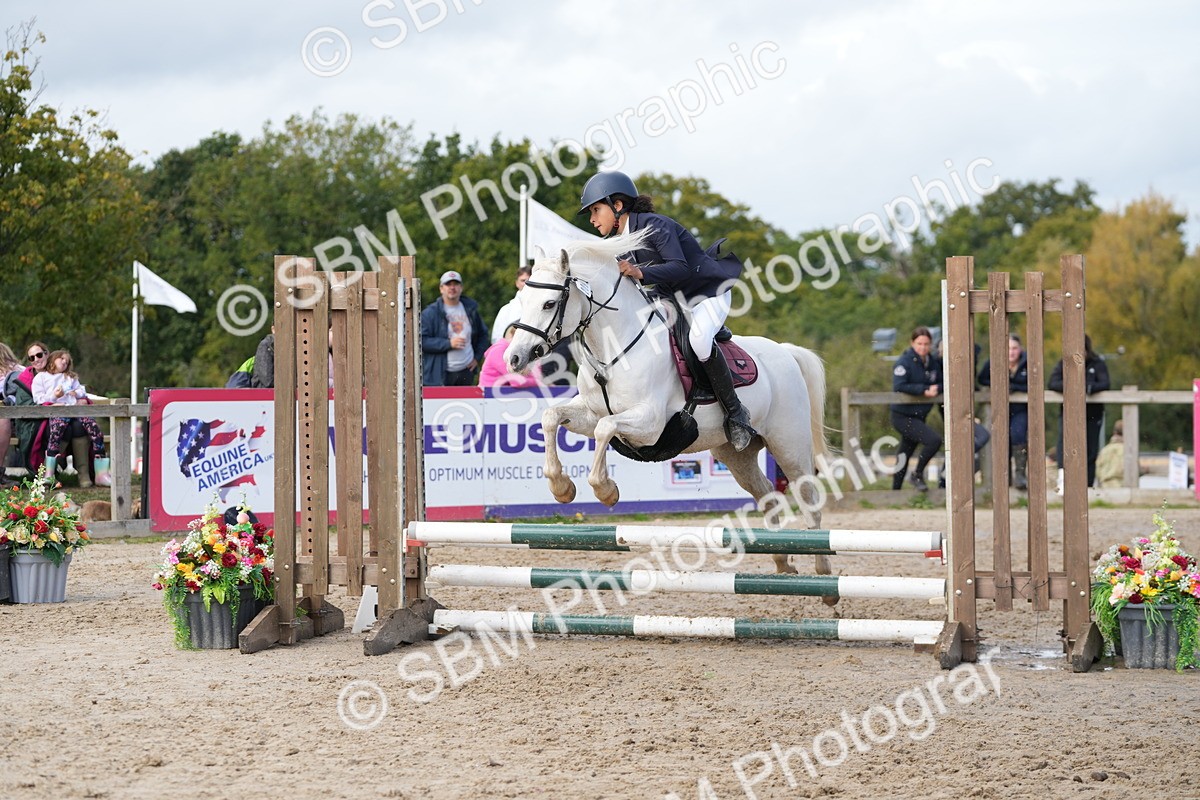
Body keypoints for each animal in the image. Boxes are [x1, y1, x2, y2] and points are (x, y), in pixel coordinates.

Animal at [506, 232, 831, 576]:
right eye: (522, 301)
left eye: (549, 304)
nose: (514, 358)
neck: (615, 348)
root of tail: (785, 351)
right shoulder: (590, 413)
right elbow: (552, 417)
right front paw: (561, 487)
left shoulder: (649, 425)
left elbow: (605, 430)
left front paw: (605, 490)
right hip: (735, 454)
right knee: (768, 495)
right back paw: (783, 563)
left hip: (788, 444)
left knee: (809, 498)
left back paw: (822, 570)